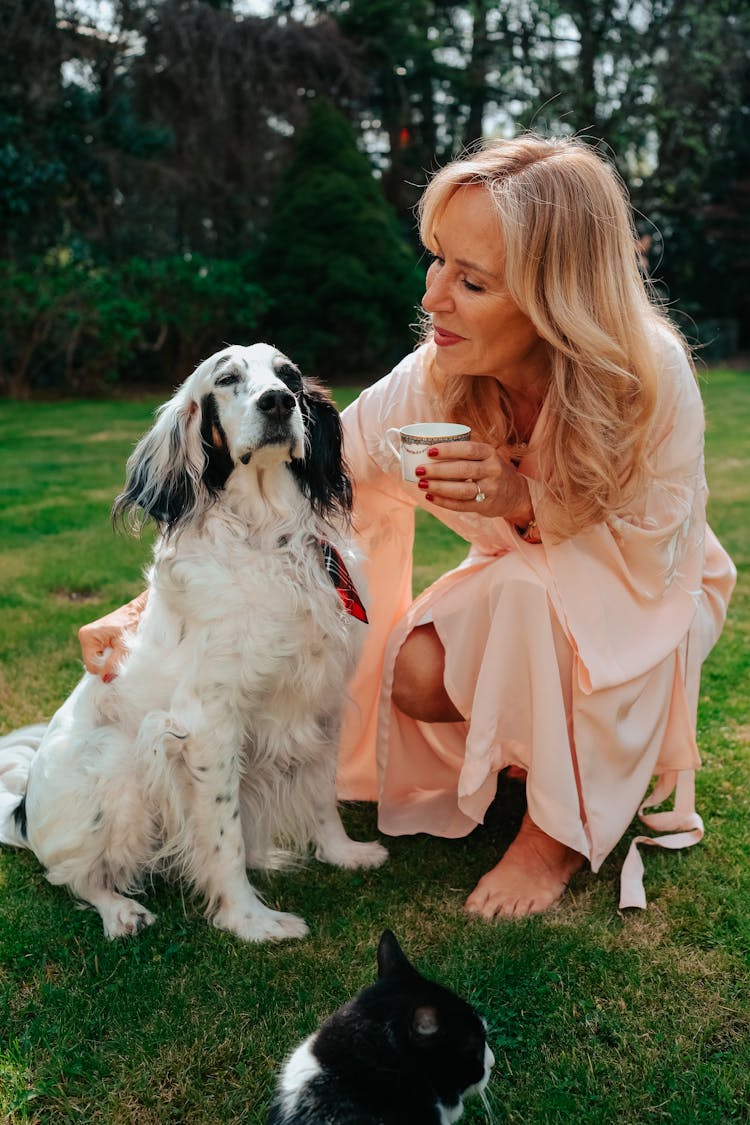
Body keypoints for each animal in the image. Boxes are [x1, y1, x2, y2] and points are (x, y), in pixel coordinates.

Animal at [0, 342, 386, 940]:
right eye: (226, 380)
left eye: (290, 377)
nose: (278, 403)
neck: (268, 538)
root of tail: (21, 809)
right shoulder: (207, 724)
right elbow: (223, 839)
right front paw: (251, 921)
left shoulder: (319, 702)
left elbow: (324, 793)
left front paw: (343, 853)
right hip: (117, 765)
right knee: (74, 877)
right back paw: (120, 910)